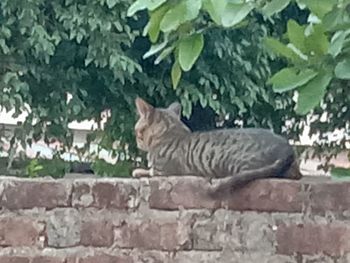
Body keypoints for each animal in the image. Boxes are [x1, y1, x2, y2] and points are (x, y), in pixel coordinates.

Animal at [133, 98, 302, 199]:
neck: (172, 132)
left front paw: (138, 171)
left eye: (137, 131)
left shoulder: (162, 171)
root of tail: (286, 148)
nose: (136, 140)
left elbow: (148, 171)